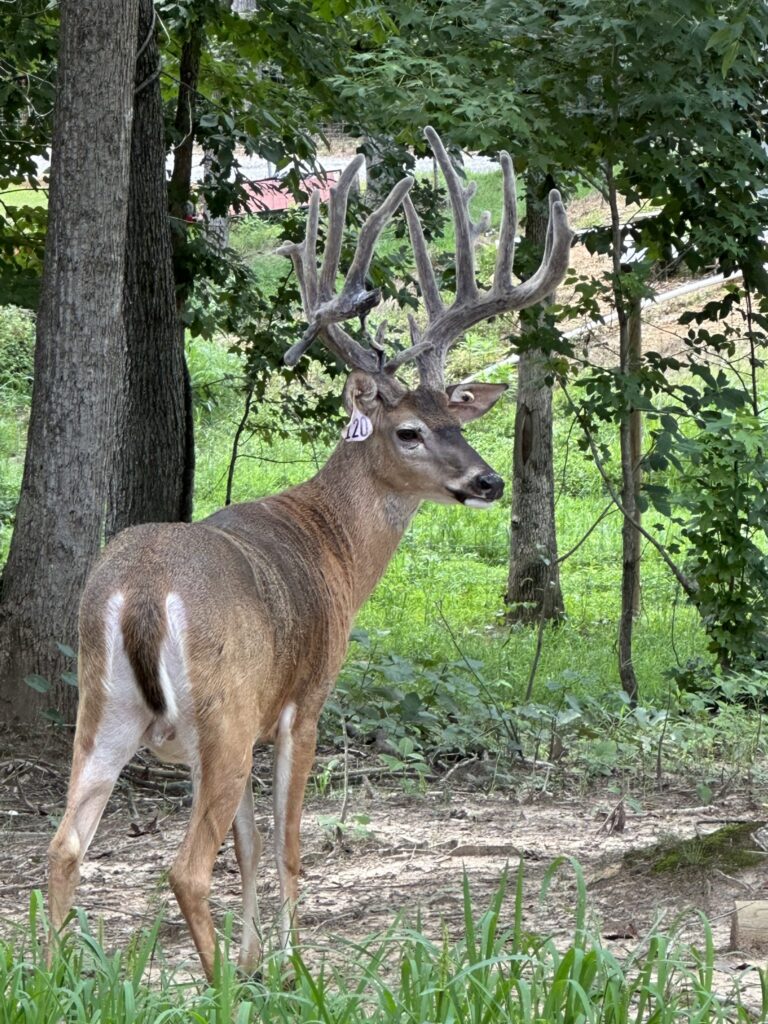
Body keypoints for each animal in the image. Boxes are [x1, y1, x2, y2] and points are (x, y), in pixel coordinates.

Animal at [47, 127, 572, 980]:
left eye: (457, 418)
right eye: (409, 431)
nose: (487, 481)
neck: (334, 550)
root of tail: (143, 593)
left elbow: (252, 846)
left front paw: (260, 956)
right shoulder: (304, 701)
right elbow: (289, 844)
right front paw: (288, 966)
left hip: (103, 708)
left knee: (65, 845)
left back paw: (58, 975)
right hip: (221, 710)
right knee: (184, 867)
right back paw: (218, 985)